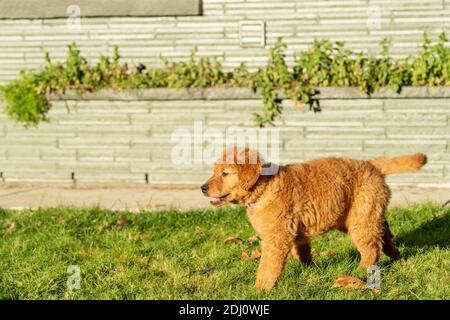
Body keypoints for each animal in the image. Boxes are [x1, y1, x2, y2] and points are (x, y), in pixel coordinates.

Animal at [202, 148, 428, 290]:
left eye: (225, 173)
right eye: (214, 172)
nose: (203, 188)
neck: (264, 188)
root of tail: (372, 165)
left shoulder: (277, 237)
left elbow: (268, 266)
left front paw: (260, 289)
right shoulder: (294, 232)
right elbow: (302, 252)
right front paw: (310, 271)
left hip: (360, 218)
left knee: (371, 247)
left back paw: (360, 272)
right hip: (362, 214)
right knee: (384, 232)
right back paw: (395, 254)